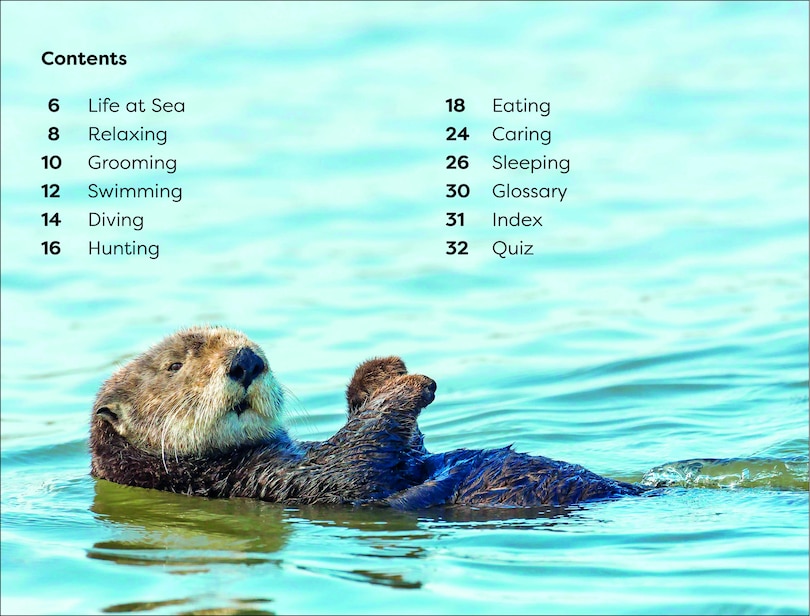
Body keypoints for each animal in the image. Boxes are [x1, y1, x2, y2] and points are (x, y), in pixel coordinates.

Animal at [90, 326, 646, 508]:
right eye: (175, 366)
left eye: (254, 344)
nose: (247, 360)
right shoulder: (275, 482)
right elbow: (360, 455)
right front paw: (410, 383)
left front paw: (381, 370)